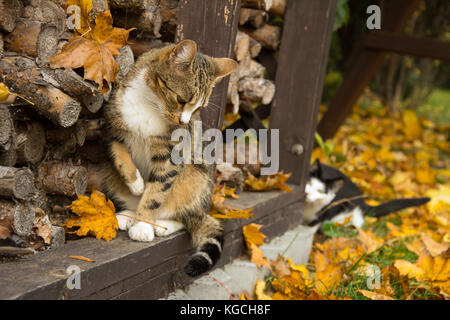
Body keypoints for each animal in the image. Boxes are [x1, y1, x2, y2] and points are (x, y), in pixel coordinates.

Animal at [100, 39, 237, 276]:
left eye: (198, 108)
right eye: (181, 100)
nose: (184, 122)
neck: (150, 104)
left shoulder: (172, 154)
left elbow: (157, 190)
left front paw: (143, 225)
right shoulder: (114, 128)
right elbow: (119, 154)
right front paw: (136, 184)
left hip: (196, 174)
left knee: (187, 216)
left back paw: (161, 225)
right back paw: (128, 215)